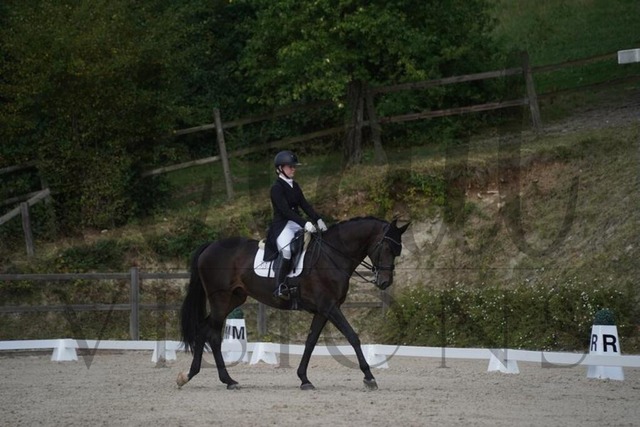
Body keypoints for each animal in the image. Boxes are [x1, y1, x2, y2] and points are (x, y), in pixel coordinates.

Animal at [176, 216, 410, 390]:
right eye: (386, 247)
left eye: (397, 251)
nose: (384, 282)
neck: (332, 256)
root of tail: (210, 246)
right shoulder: (329, 306)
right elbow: (353, 336)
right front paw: (369, 377)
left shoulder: (323, 310)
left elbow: (311, 342)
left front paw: (304, 379)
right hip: (221, 299)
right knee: (213, 335)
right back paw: (223, 380)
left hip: (234, 298)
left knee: (204, 329)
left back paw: (193, 376)